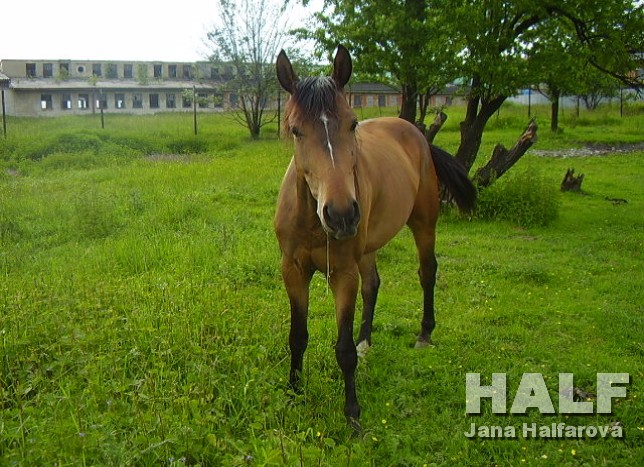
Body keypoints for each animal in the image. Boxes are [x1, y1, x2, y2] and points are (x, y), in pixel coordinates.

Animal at [274, 44, 476, 432]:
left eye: (352, 123)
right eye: (294, 130)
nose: (340, 214)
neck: (313, 221)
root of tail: (416, 134)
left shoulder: (342, 274)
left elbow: (343, 349)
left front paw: (352, 413)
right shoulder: (293, 270)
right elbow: (297, 336)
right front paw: (293, 392)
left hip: (423, 224)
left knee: (427, 272)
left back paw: (424, 334)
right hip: (367, 247)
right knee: (373, 284)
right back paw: (367, 342)